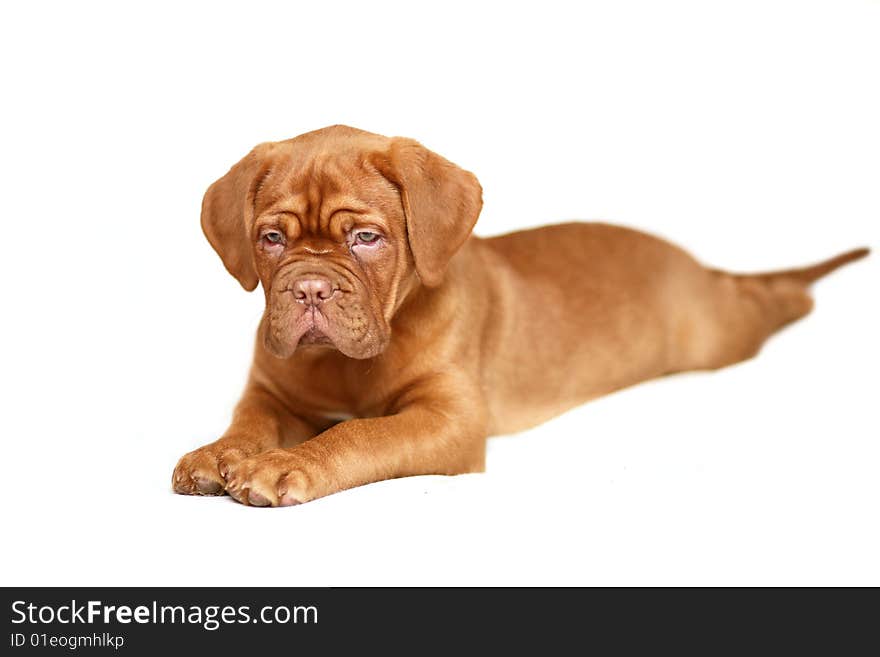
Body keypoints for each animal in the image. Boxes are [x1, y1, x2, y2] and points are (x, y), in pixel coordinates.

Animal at [170, 125, 868, 504]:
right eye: (271, 239)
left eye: (366, 239)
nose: (310, 289)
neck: (345, 365)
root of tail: (692, 262)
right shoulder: (271, 391)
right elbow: (249, 422)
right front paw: (218, 454)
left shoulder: (450, 421)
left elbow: (360, 434)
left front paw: (284, 463)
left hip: (717, 334)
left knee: (766, 305)